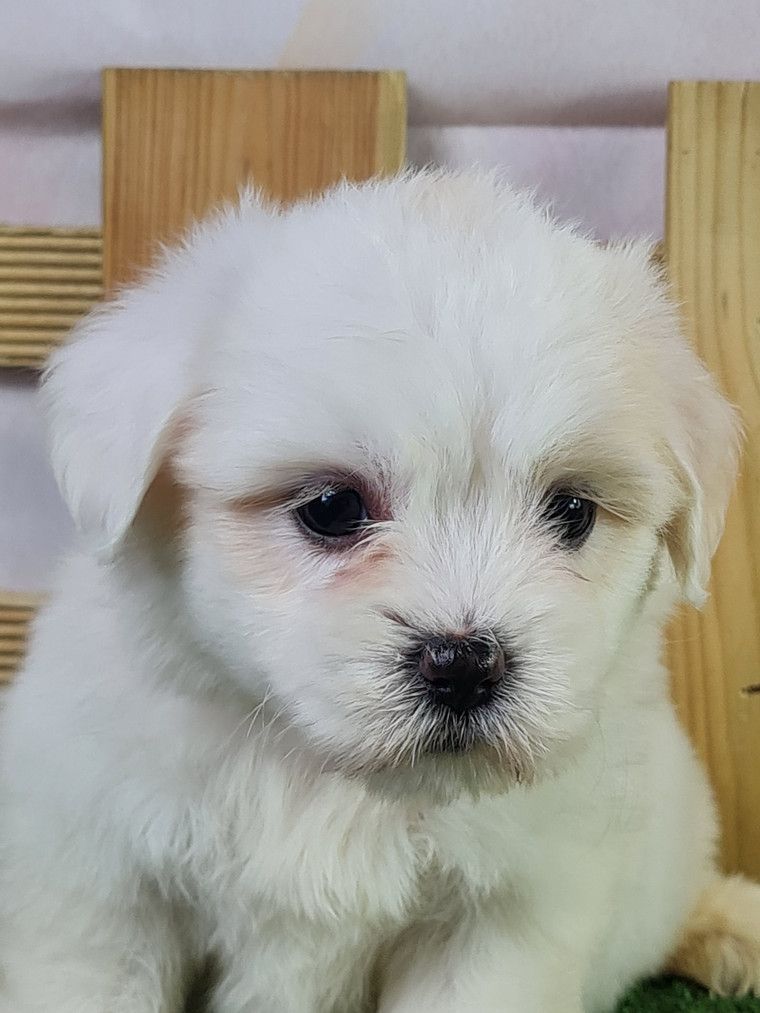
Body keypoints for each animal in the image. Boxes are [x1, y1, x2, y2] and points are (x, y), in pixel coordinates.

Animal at [1, 169, 758, 1012]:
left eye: (572, 511)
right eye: (332, 507)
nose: (464, 664)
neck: (331, 775)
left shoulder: (500, 919)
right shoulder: (100, 885)